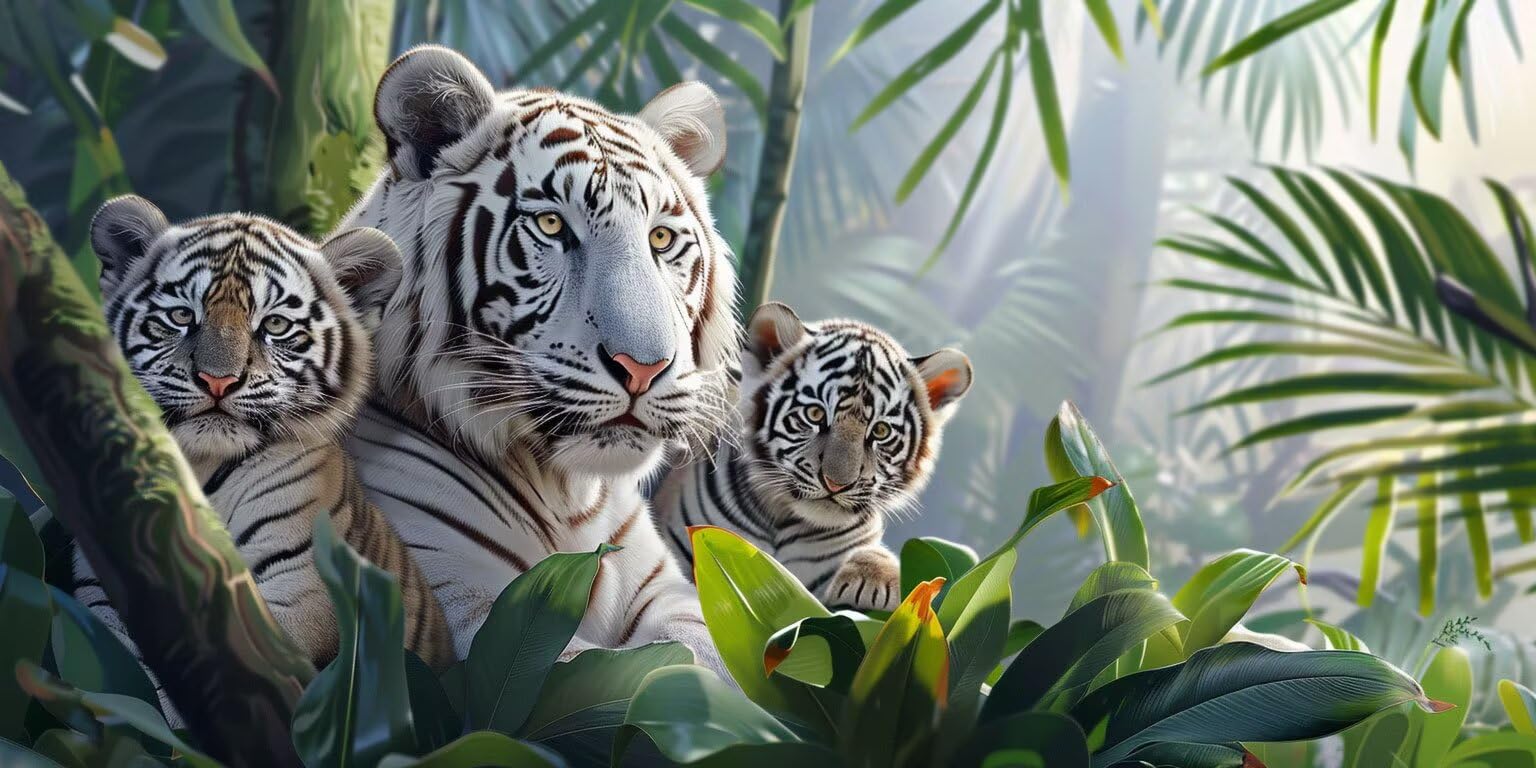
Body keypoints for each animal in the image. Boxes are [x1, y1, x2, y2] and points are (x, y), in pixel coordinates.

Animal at [73, 196, 455, 719]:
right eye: (181, 316)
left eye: (274, 325)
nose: (217, 380)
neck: (202, 467)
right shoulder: (100, 585)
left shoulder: (304, 589)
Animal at [333, 46, 738, 671]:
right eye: (551, 225)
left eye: (661, 239)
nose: (644, 369)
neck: (571, 495)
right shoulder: (468, 613)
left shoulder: (669, 593)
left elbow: (704, 658)